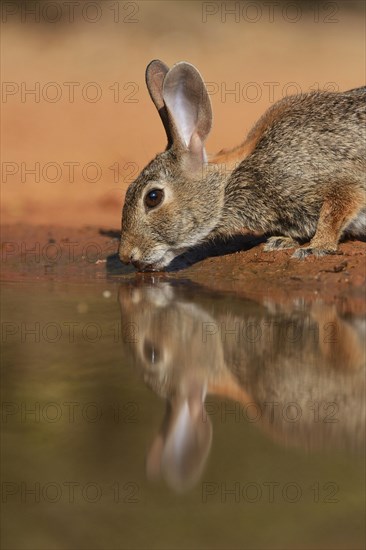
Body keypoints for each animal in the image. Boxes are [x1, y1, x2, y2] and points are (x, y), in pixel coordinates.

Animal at [118, 60, 364, 272]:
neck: (229, 183)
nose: (125, 256)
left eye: (153, 197)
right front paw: (282, 241)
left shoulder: (337, 181)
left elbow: (335, 211)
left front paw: (316, 247)